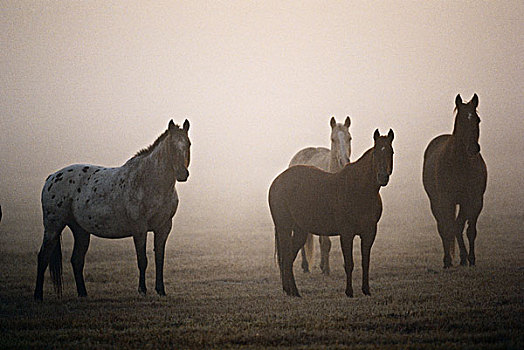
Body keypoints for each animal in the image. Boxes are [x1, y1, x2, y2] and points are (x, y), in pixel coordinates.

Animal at [34, 119, 190, 300]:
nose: (182, 174)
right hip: (53, 226)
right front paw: (142, 290)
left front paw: (161, 290)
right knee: (43, 257)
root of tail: (52, 177)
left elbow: (160, 259)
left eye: (188, 144)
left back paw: (83, 294)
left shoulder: (163, 228)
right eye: (172, 146)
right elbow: (142, 260)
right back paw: (38, 296)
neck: (149, 181)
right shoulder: (139, 229)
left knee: (77, 260)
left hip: (80, 230)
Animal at [286, 116, 352, 274]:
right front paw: (326, 270)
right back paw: (305, 266)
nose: (344, 161)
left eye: (349, 138)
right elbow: (325, 242)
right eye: (333, 139)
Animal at [422, 93, 488, 268]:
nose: (473, 148)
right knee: (443, 227)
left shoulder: (473, 200)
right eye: (461, 120)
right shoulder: (446, 200)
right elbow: (448, 228)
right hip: (436, 202)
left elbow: (467, 229)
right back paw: (448, 260)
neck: (459, 164)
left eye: (477, 119)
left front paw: (470, 259)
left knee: (456, 226)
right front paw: (449, 260)